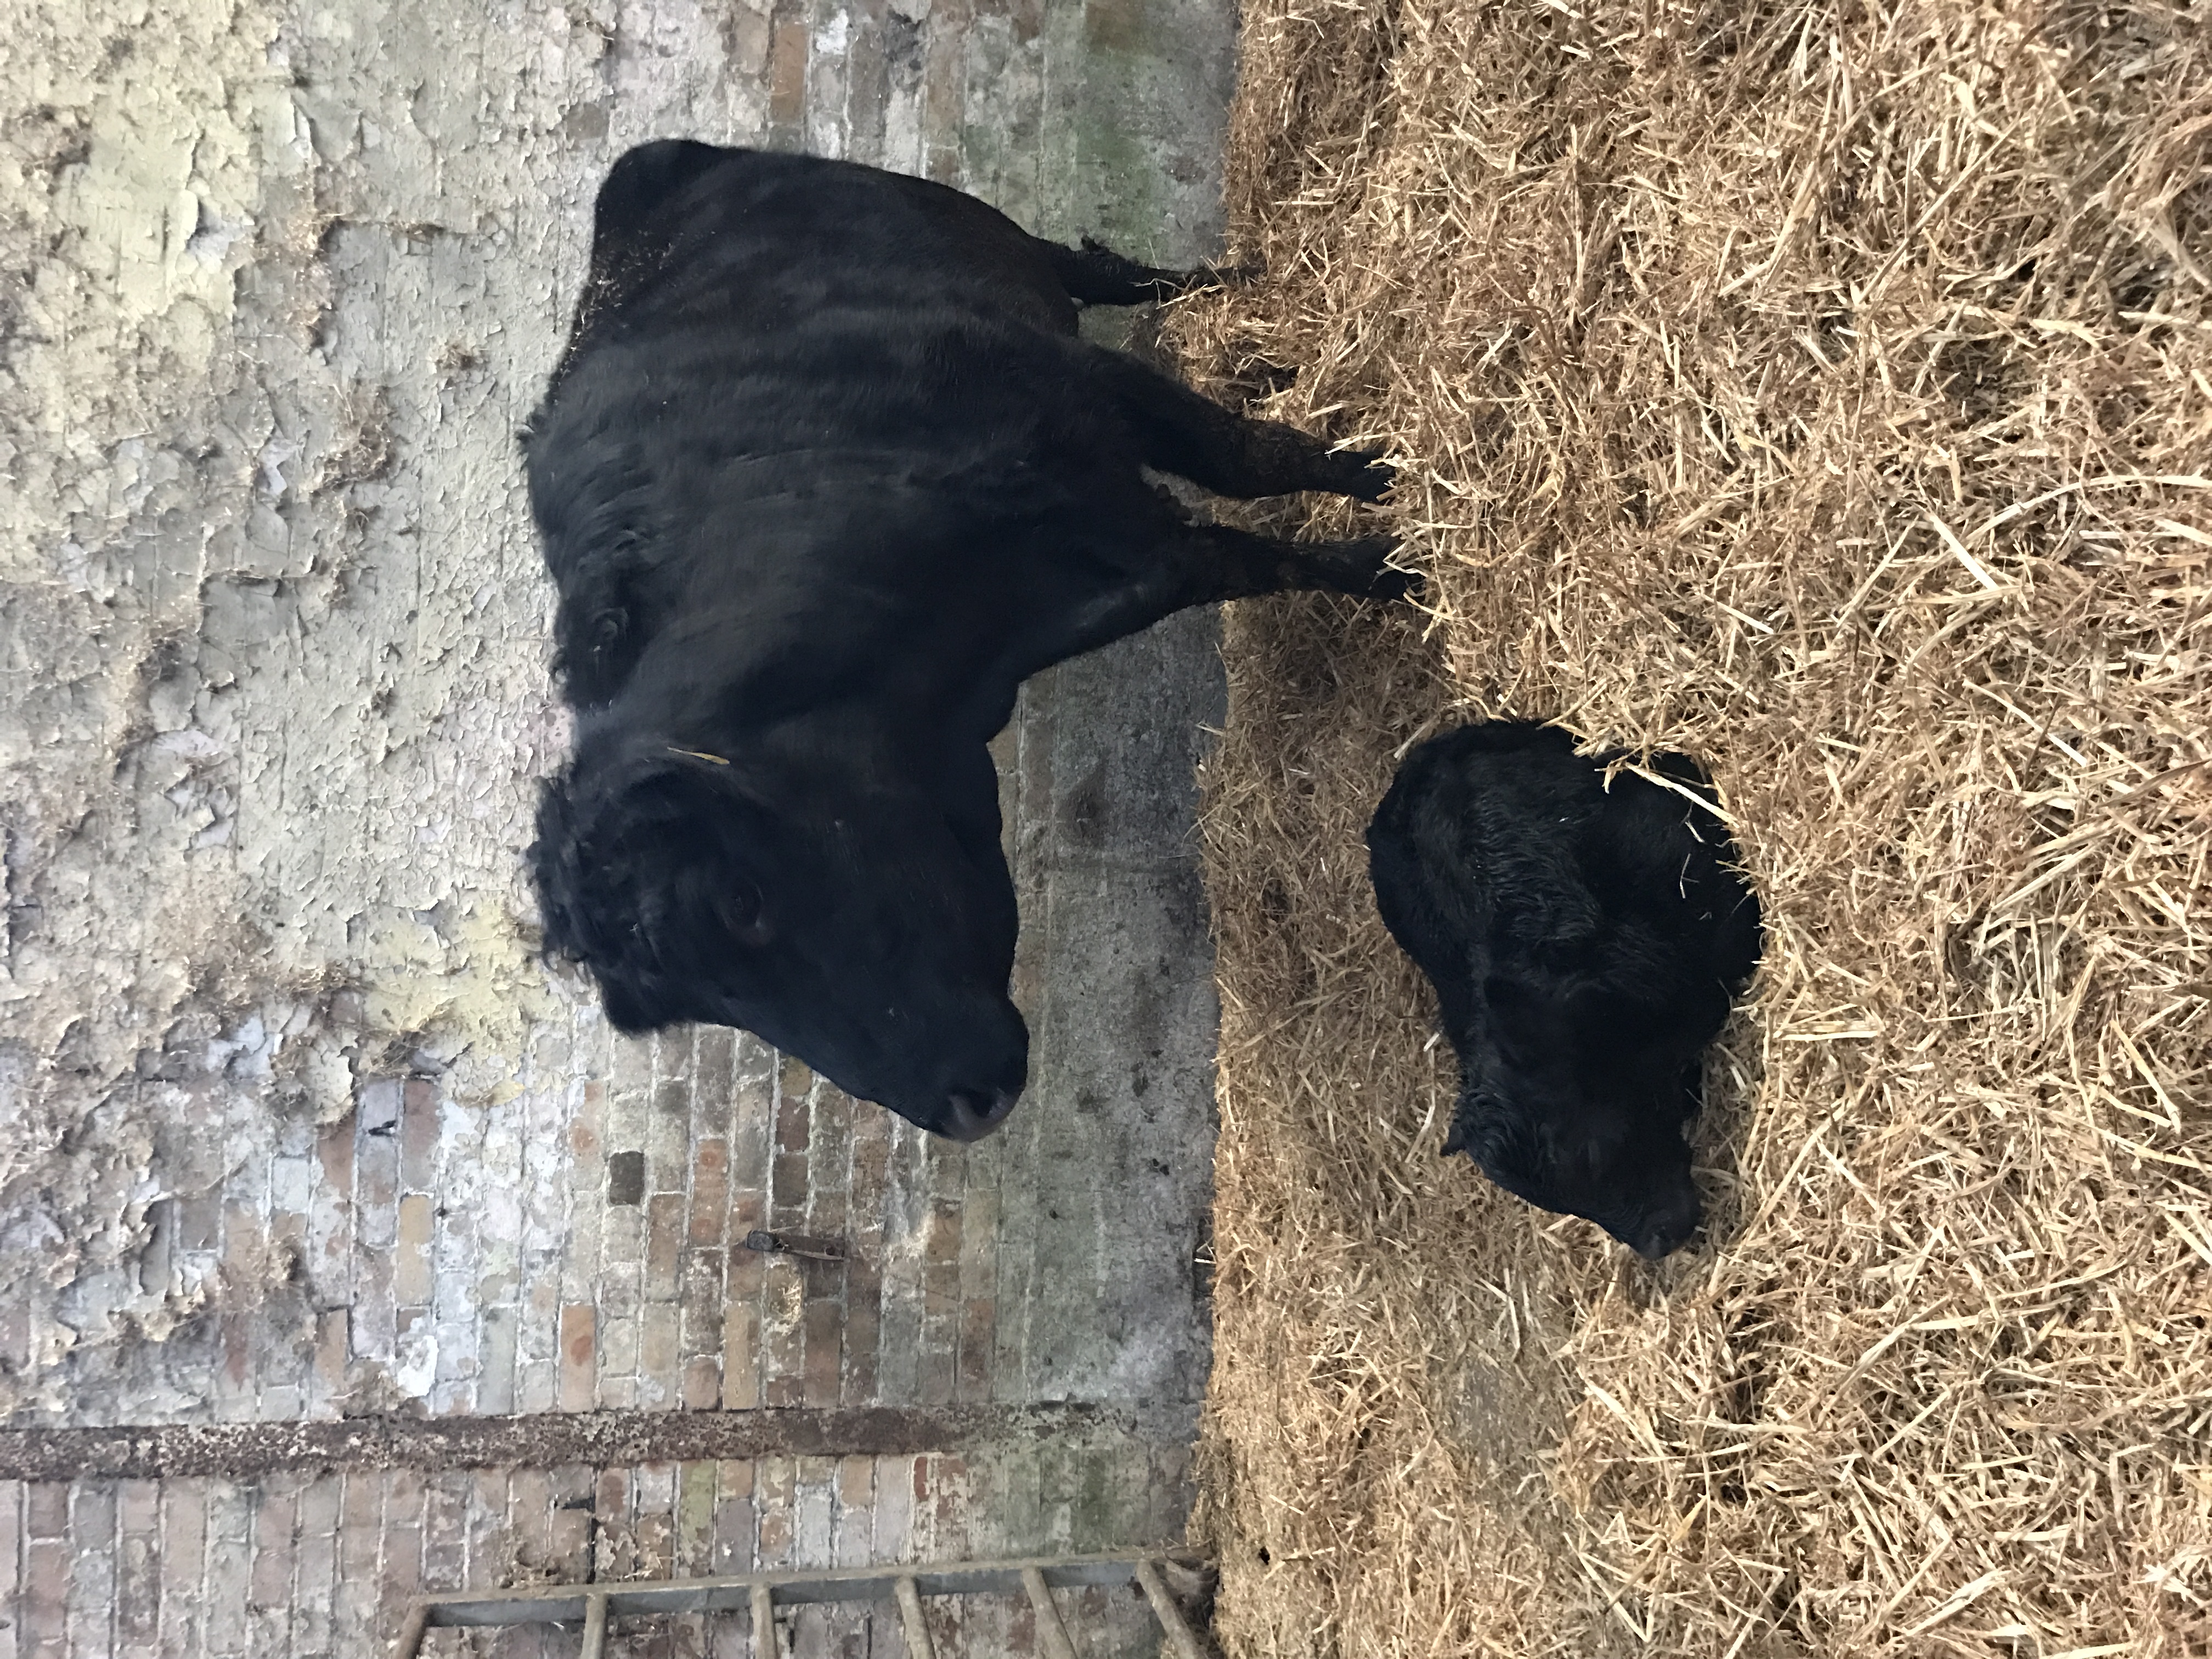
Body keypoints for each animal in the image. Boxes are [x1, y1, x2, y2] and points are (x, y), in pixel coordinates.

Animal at [525, 140, 1414, 1143]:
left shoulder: (1084, 393)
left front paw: (1387, 508)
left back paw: (1238, 283)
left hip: (994, 233)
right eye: (707, 1004)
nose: (963, 1107)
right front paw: (1378, 556)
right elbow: (1244, 553)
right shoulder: (1121, 564)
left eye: (742, 904)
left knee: (1116, 273)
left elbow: (1249, 462)